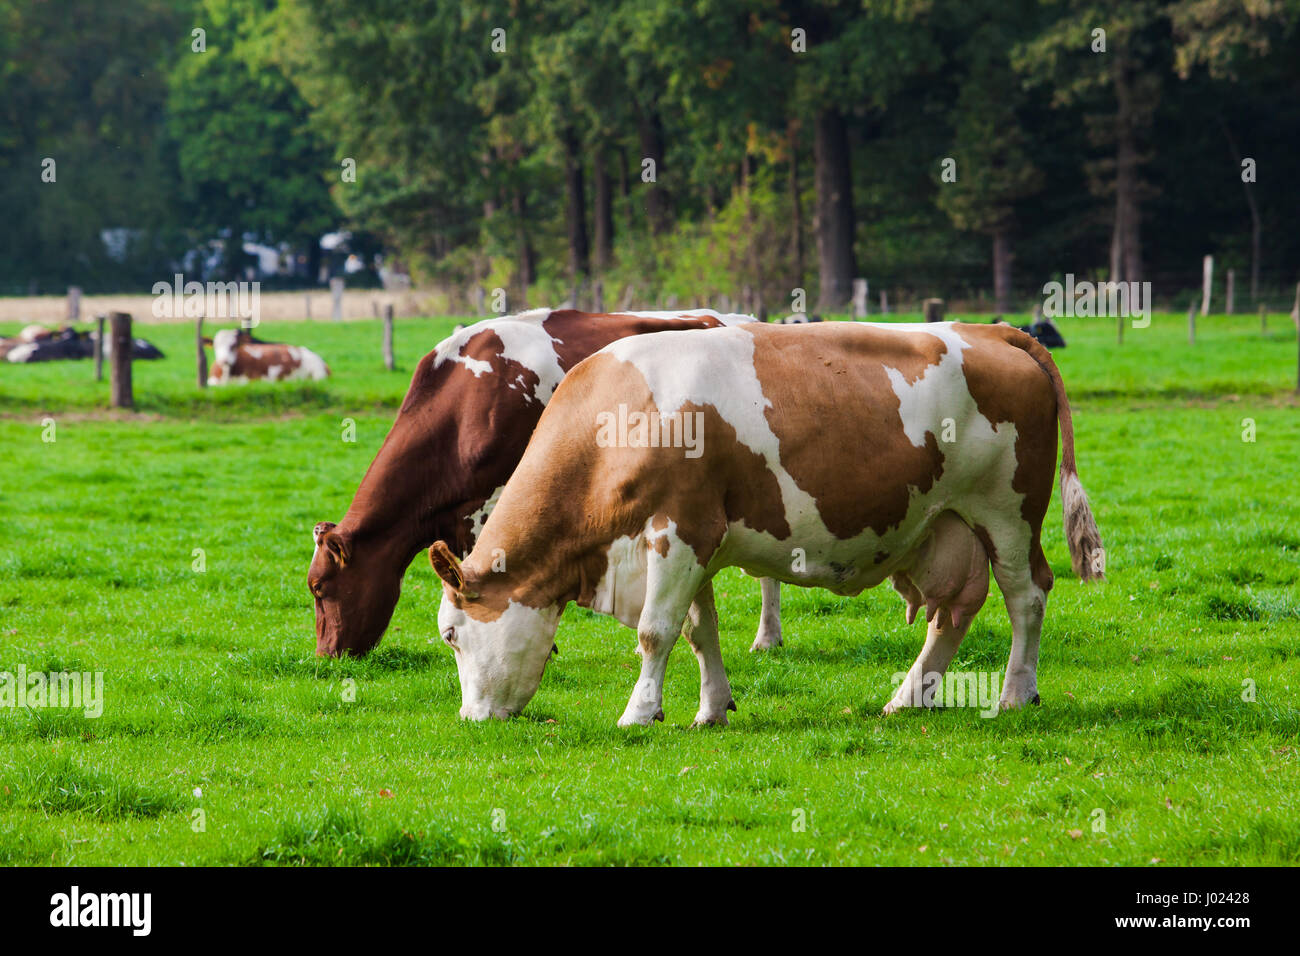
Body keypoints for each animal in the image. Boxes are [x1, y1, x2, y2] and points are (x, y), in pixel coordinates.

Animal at [428, 321, 1105, 726]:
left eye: (452, 635)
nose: (470, 720)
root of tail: (986, 329)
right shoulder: (694, 544)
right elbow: (699, 631)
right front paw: (711, 709)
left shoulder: (679, 530)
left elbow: (654, 632)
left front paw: (639, 713)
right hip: (949, 525)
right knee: (956, 610)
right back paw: (908, 696)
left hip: (1008, 514)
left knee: (1026, 596)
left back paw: (1015, 693)